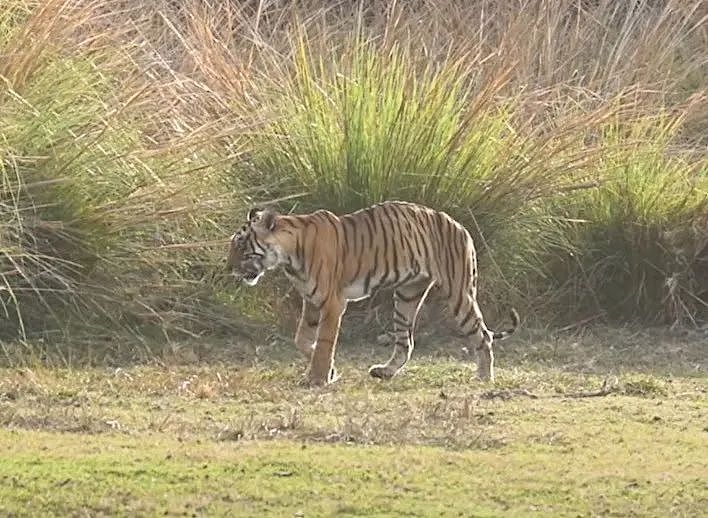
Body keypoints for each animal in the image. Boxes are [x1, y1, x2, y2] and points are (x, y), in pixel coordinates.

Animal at [226, 200, 519, 387]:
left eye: (241, 247)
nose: (228, 269)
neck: (288, 256)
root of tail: (460, 225)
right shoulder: (311, 301)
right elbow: (301, 339)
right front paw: (330, 372)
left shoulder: (332, 303)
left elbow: (324, 342)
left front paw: (318, 379)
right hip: (406, 297)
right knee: (406, 343)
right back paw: (385, 372)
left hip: (459, 294)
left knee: (483, 336)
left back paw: (484, 378)